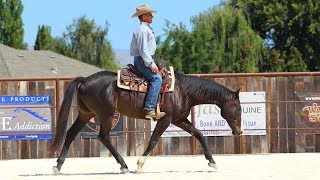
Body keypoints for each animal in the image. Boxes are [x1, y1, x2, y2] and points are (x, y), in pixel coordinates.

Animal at [48, 70, 241, 174]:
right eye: (238, 108)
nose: (239, 131)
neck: (183, 90)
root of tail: (85, 80)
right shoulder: (166, 119)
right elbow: (153, 140)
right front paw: (139, 165)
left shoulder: (179, 119)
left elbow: (199, 134)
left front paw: (212, 161)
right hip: (106, 114)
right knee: (103, 136)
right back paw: (124, 165)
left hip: (85, 114)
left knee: (71, 134)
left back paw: (58, 166)